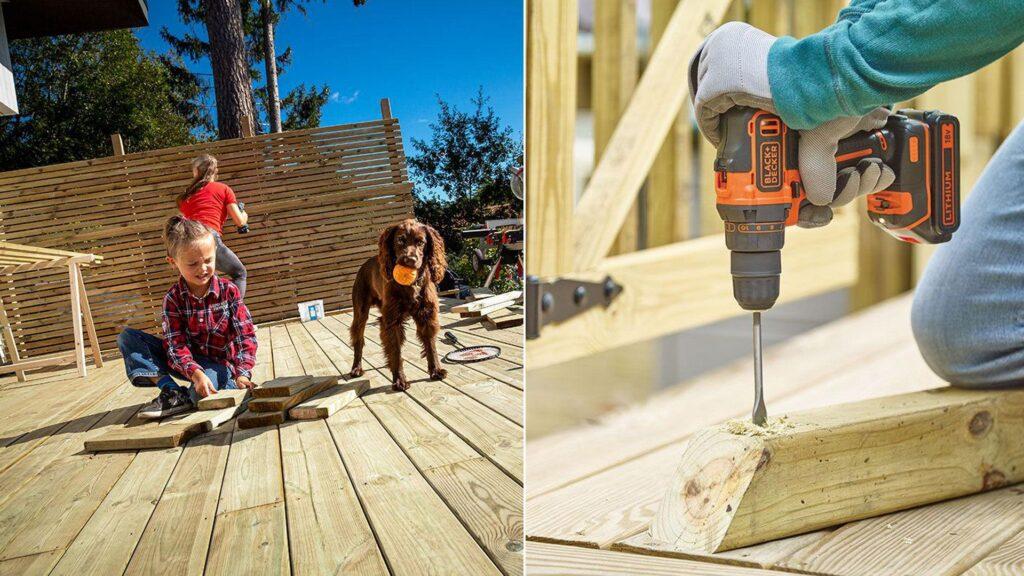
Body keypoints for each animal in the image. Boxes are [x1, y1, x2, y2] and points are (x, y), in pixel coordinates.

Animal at [350, 217, 446, 387]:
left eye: (421, 242)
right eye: (400, 240)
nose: (409, 260)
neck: (411, 285)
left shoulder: (426, 315)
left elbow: (431, 345)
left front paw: (435, 370)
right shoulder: (391, 320)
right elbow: (395, 350)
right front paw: (399, 379)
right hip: (360, 313)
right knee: (358, 339)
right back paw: (356, 368)